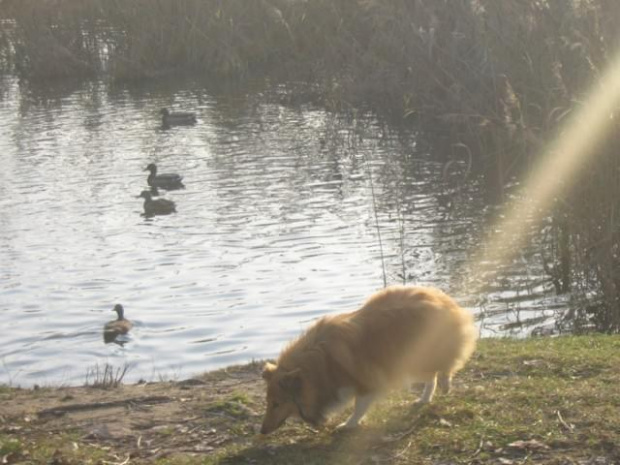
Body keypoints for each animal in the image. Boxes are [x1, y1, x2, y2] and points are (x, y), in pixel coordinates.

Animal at [260, 284, 478, 434]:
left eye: (277, 404)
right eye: (268, 402)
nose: (262, 431)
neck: (320, 366)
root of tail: (441, 298)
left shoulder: (365, 382)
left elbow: (359, 407)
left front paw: (348, 424)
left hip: (418, 357)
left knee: (444, 368)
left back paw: (445, 385)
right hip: (408, 363)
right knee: (431, 376)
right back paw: (424, 398)